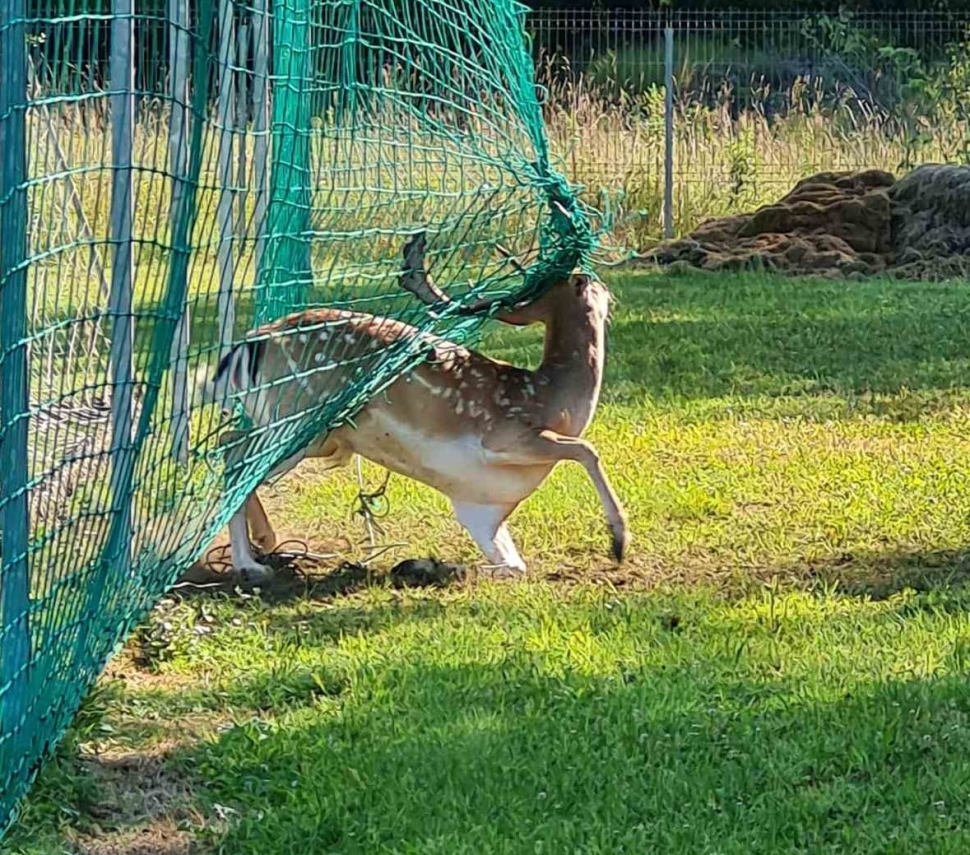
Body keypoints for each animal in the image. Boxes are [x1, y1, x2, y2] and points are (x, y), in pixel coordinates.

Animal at [206, 231, 628, 584]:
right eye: (585, 280)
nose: (606, 285)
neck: (552, 398)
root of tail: (248, 345)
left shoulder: (481, 509)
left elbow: (513, 566)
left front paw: (421, 565)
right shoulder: (504, 435)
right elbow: (587, 449)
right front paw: (619, 542)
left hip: (309, 434)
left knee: (230, 444)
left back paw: (266, 540)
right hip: (298, 418)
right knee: (235, 457)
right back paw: (250, 565)